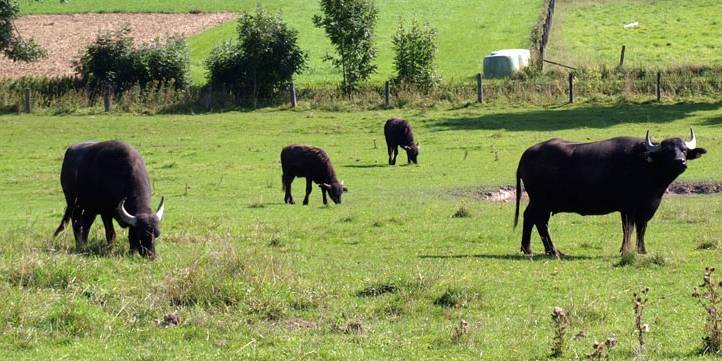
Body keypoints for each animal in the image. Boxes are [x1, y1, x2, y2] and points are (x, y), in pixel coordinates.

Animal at [512, 129, 704, 256]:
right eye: (667, 151)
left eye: (684, 150)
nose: (680, 161)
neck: (644, 165)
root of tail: (526, 155)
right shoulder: (628, 208)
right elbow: (628, 228)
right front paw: (625, 250)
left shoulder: (646, 208)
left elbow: (642, 228)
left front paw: (641, 250)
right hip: (540, 201)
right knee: (536, 219)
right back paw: (544, 250)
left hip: (542, 202)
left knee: (534, 219)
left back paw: (539, 249)